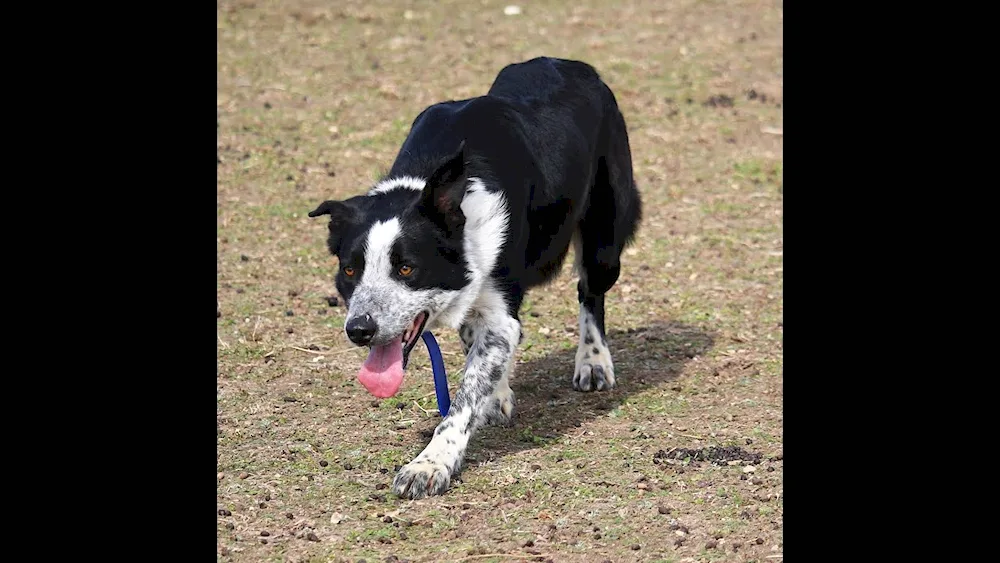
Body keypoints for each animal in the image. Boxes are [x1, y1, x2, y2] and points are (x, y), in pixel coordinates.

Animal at [308, 56, 644, 498]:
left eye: (406, 267)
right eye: (350, 269)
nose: (360, 330)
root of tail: (573, 64)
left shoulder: (499, 306)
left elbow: (463, 400)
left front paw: (430, 464)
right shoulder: (478, 301)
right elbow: (479, 353)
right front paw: (495, 395)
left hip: (604, 237)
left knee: (590, 294)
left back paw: (593, 361)